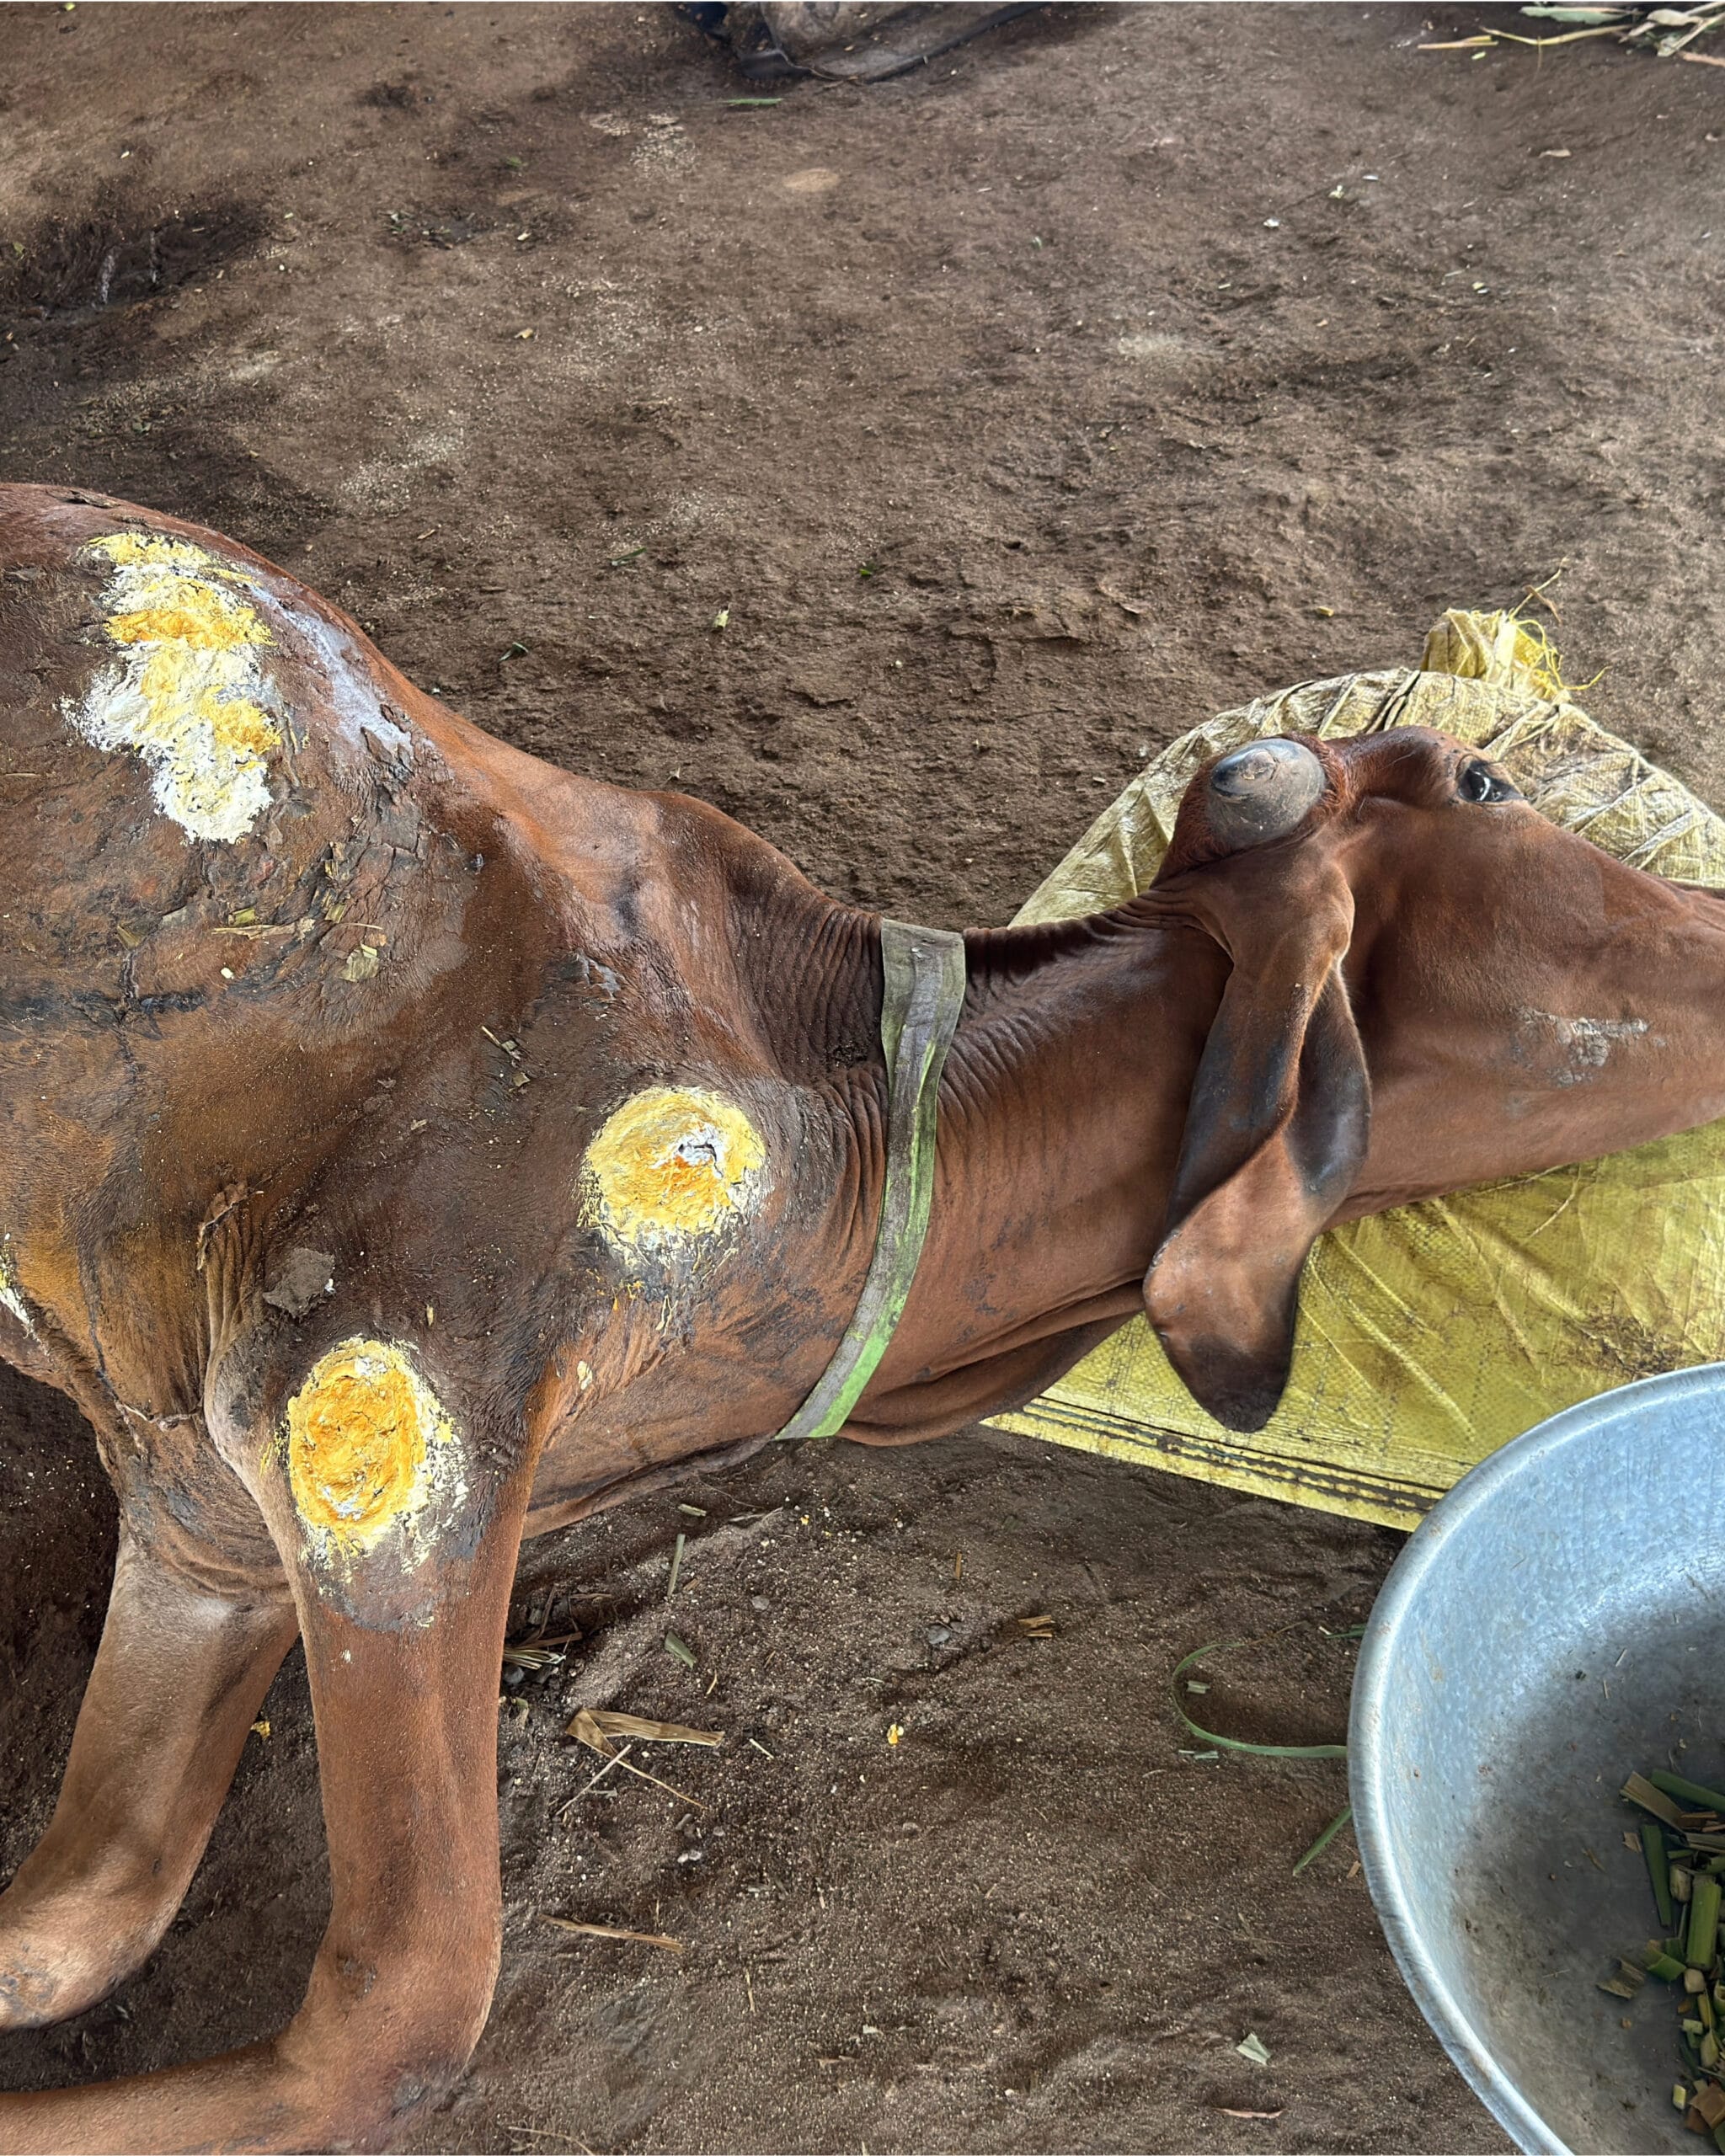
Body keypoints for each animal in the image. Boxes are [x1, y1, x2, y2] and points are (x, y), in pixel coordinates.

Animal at [1, 482, 1721, 2153]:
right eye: (1483, 782)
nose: (1712, 901)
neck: (844, 1141)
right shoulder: (383, 1420)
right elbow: (395, 2027)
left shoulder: (211, 1515)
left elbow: (67, 1923)